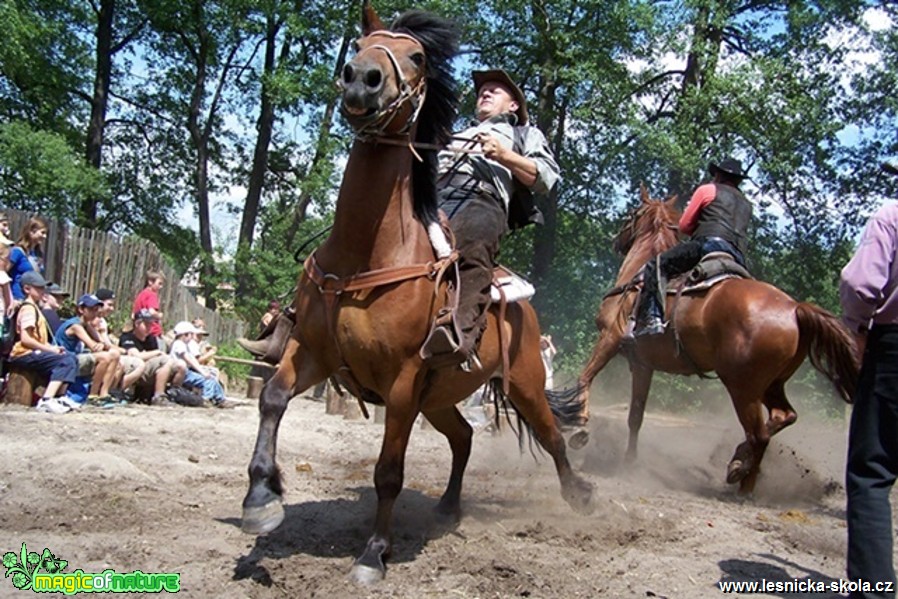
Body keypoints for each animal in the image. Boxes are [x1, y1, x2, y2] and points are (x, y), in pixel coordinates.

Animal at [238, 3, 592, 584]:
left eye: (418, 56)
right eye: (362, 44)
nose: (360, 78)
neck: (365, 254)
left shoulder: (401, 382)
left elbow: (389, 471)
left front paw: (373, 554)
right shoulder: (313, 353)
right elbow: (271, 398)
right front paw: (261, 500)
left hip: (520, 385)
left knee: (553, 436)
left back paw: (581, 495)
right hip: (441, 398)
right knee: (464, 437)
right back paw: (448, 506)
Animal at [568, 190, 856, 494]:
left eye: (632, 213)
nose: (616, 240)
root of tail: (794, 309)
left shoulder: (610, 337)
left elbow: (584, 378)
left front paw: (580, 429)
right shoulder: (643, 364)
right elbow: (635, 415)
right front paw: (629, 462)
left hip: (743, 388)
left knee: (759, 435)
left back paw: (742, 482)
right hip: (771, 385)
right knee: (782, 417)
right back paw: (740, 464)